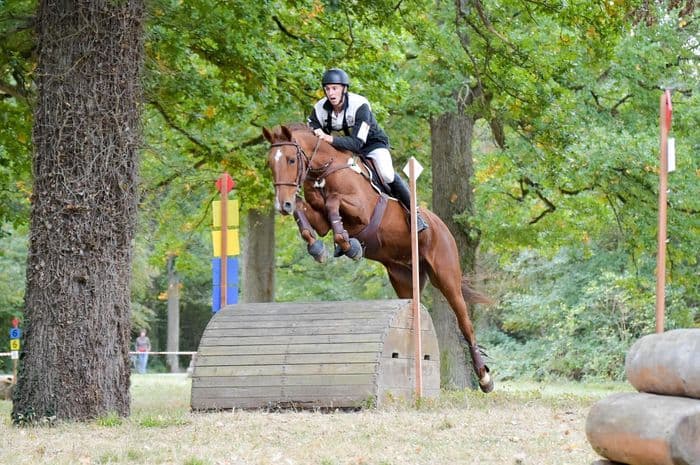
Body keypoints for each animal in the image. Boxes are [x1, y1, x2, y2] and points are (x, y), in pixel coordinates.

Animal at [262, 123, 494, 393]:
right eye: (270, 163)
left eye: (291, 159)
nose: (282, 205)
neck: (325, 168)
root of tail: (442, 226)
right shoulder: (320, 219)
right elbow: (306, 212)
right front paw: (318, 247)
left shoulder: (361, 209)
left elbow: (333, 202)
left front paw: (348, 245)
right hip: (404, 279)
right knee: (414, 311)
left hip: (447, 276)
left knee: (465, 322)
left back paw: (485, 378)